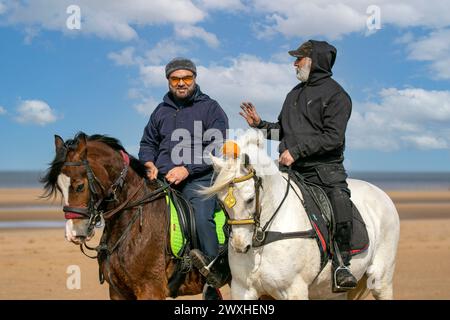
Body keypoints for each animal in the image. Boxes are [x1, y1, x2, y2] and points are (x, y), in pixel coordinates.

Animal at [202, 129, 400, 298]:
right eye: (221, 203)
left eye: (250, 199)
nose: (239, 246)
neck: (264, 237)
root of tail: (381, 193)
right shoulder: (243, 289)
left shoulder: (294, 290)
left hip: (381, 280)